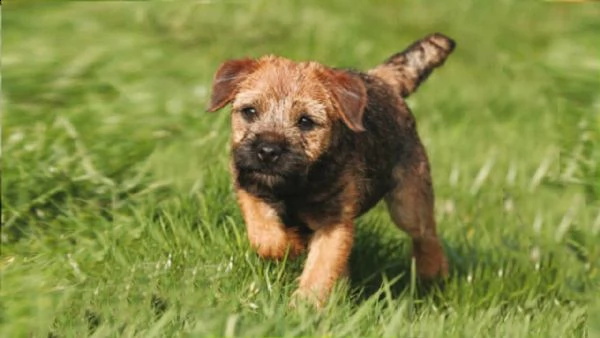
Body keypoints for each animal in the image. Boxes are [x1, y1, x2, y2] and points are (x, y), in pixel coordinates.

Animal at [206, 32, 454, 306]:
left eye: (306, 121)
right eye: (250, 111)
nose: (268, 151)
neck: (298, 186)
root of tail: (382, 80)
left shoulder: (333, 224)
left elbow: (321, 268)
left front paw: (304, 307)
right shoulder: (249, 185)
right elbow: (264, 234)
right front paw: (291, 245)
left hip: (408, 201)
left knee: (426, 233)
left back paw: (433, 274)